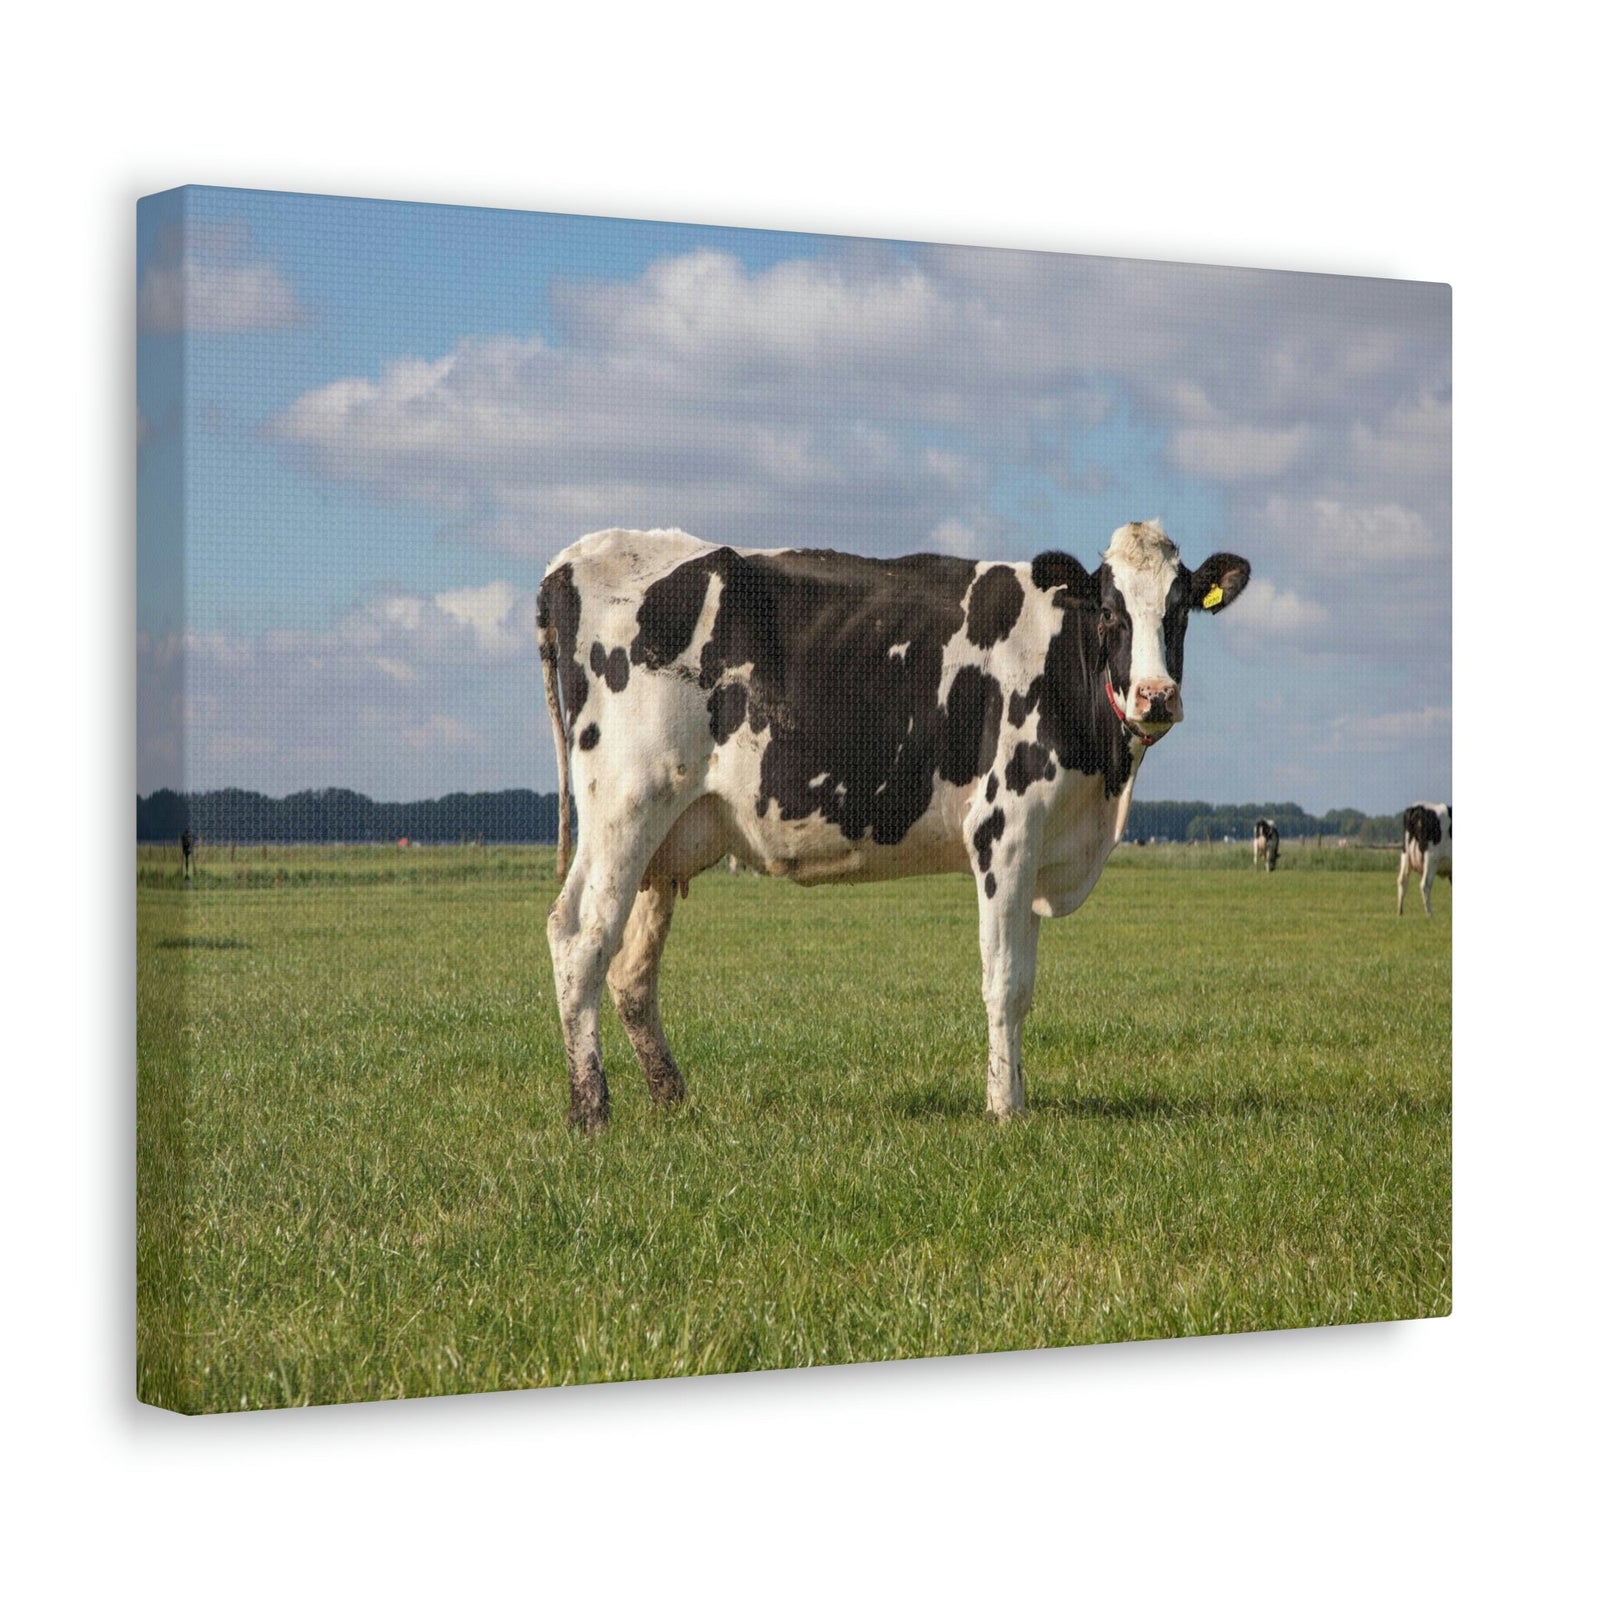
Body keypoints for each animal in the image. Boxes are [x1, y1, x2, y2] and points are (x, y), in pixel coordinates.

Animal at [537, 520, 1250, 1129]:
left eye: (1180, 609)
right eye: (1109, 611)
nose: (1156, 695)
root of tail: (573, 559)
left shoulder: (1042, 843)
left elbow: (1023, 982)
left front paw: (1013, 1097)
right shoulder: (1005, 828)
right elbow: (1005, 981)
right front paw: (1005, 1108)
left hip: (666, 837)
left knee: (631, 971)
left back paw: (671, 1097)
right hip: (624, 805)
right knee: (579, 938)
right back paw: (590, 1109)